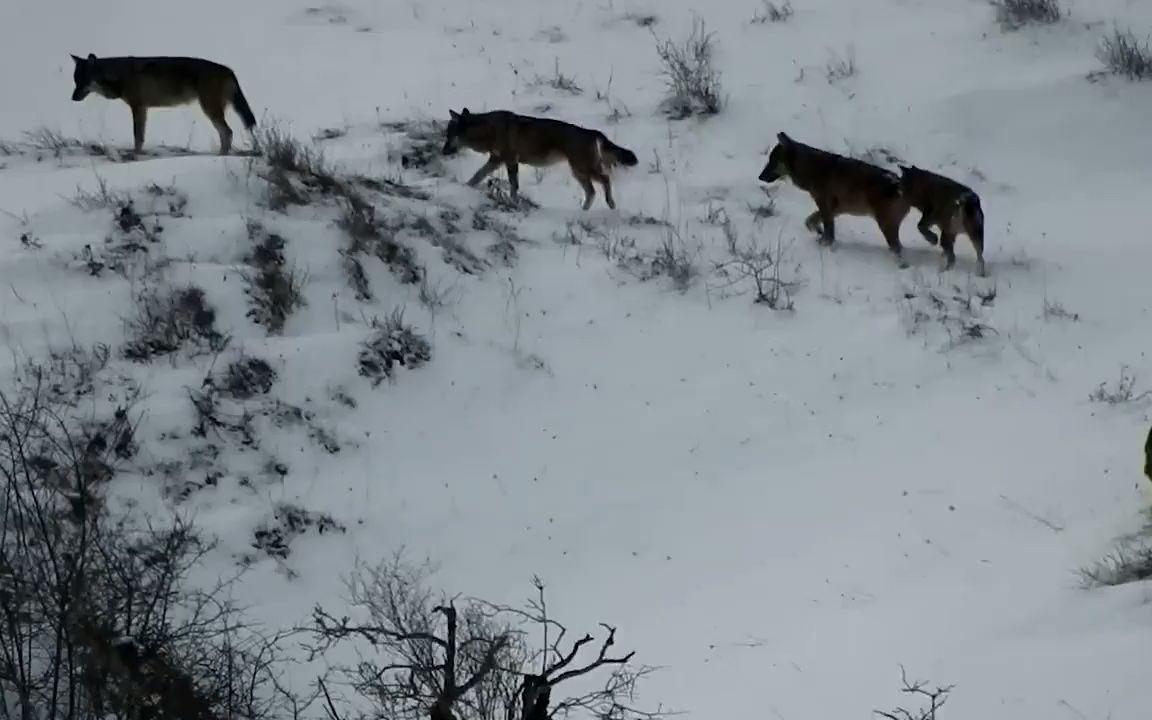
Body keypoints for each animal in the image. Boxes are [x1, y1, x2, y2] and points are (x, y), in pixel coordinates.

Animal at [440, 106, 640, 209]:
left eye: (449, 136)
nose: (442, 152)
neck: (489, 130)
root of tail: (592, 132)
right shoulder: (496, 160)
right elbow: (477, 176)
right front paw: (465, 188)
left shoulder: (510, 160)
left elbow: (513, 186)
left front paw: (514, 202)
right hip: (578, 172)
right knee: (591, 191)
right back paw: (583, 211)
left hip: (582, 169)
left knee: (605, 179)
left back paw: (610, 203)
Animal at [760, 131, 912, 267]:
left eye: (772, 161)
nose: (759, 177)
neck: (811, 168)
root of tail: (899, 183)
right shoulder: (833, 210)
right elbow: (809, 221)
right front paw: (818, 232)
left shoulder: (825, 207)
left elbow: (828, 234)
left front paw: (824, 245)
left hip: (885, 226)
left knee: (898, 250)